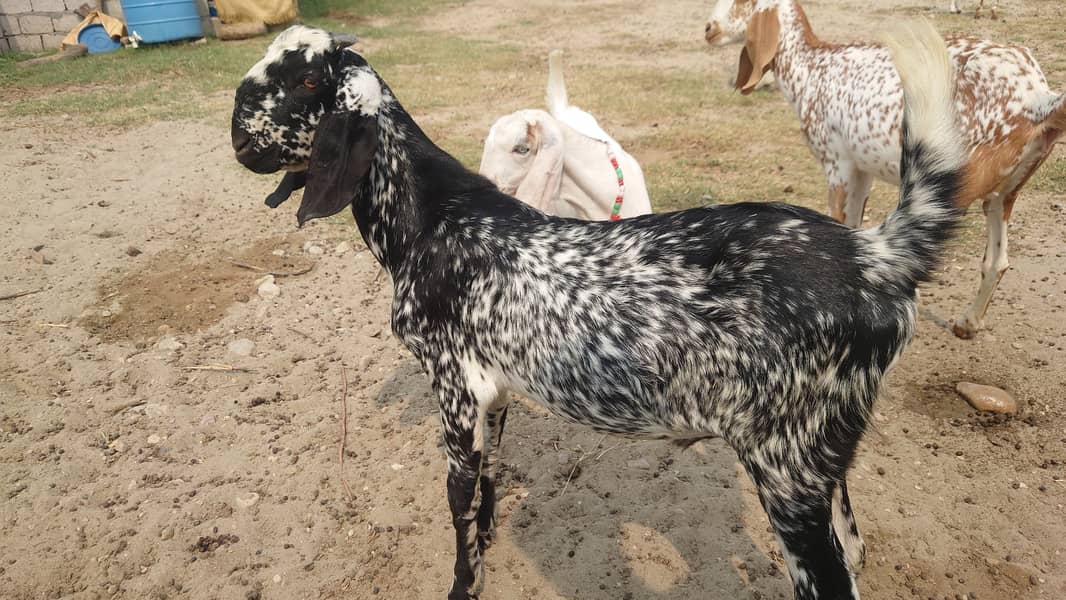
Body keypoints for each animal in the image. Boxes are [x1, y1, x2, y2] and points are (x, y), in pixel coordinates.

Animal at [703, 0, 1061, 341]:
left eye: (743, 1)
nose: (709, 29)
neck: (813, 67)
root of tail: (1038, 97)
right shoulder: (862, 172)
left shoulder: (837, 165)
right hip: (1003, 193)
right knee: (996, 261)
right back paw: (967, 324)